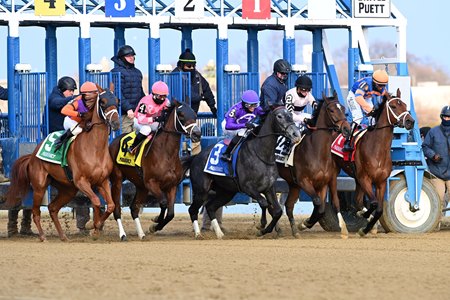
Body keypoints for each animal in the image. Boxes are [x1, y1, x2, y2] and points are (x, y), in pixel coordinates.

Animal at [5, 84, 120, 241]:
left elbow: (111, 205)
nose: (115, 123)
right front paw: (92, 227)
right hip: (40, 186)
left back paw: (63, 236)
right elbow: (96, 201)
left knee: (53, 208)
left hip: (68, 189)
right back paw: (43, 236)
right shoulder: (81, 181)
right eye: (102, 102)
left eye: (117, 101)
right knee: (36, 212)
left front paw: (95, 228)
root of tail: (32, 156)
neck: (95, 148)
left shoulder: (102, 181)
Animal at [108, 101, 201, 241]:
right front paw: (156, 222)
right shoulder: (151, 183)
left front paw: (156, 225)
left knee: (134, 208)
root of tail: (113, 142)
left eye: (195, 115)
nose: (197, 134)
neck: (166, 153)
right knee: (117, 208)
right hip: (117, 180)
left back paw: (141, 234)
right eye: (181, 115)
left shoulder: (171, 186)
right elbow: (163, 203)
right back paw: (122, 234)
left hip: (141, 186)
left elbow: (171, 213)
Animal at [183, 106, 302, 240]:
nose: (296, 134)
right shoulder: (248, 187)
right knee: (192, 210)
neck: (261, 154)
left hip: (226, 192)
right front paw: (261, 226)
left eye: (291, 115)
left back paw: (220, 234)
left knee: (210, 207)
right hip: (201, 190)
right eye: (279, 116)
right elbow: (264, 203)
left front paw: (265, 230)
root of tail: (196, 157)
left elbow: (277, 211)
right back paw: (198, 234)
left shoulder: (269, 187)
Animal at [276, 91, 354, 239]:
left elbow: (324, 207)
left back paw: (294, 231)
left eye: (343, 108)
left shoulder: (324, 182)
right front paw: (304, 223)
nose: (347, 129)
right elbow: (317, 202)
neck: (316, 151)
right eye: (331, 110)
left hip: (293, 184)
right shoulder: (304, 181)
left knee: (288, 205)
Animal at [330, 89, 414, 237]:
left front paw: (366, 228)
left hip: (357, 179)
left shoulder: (381, 181)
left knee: (357, 200)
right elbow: (374, 203)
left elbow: (379, 209)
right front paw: (365, 219)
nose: (411, 121)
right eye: (393, 106)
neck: (377, 149)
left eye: (404, 105)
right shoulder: (365, 179)